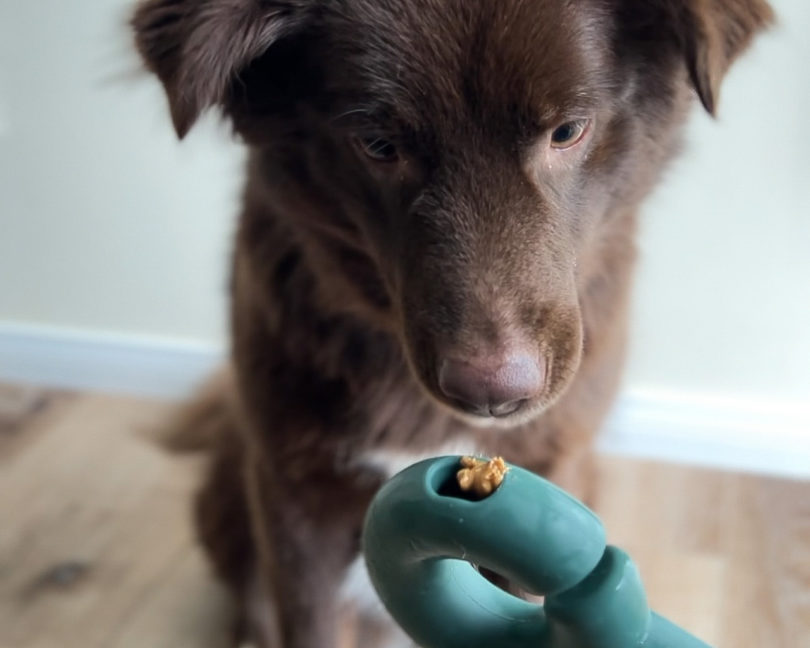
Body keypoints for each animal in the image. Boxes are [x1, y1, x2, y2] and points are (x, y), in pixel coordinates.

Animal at [133, 2, 772, 644]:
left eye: (568, 131)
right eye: (378, 145)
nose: (494, 393)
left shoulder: (552, 471)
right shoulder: (293, 487)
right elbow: (308, 619)